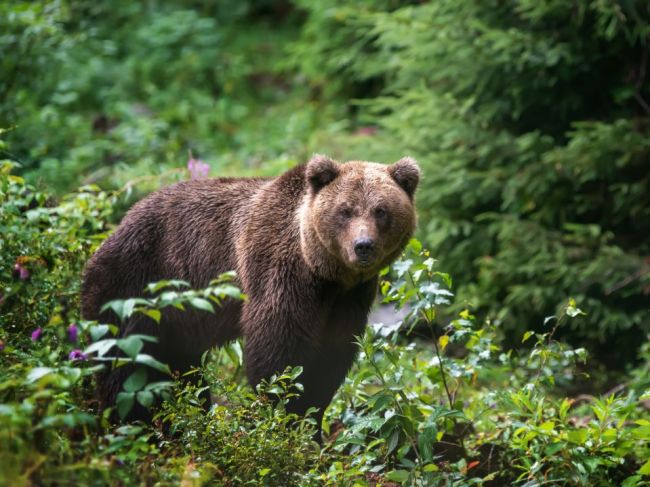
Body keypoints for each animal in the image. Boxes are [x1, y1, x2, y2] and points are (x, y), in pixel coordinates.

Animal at [81, 154, 418, 432]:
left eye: (381, 211)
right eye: (345, 211)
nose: (363, 246)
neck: (325, 274)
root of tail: (113, 229)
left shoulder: (350, 298)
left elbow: (331, 359)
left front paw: (311, 425)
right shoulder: (280, 274)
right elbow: (277, 355)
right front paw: (284, 419)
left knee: (179, 372)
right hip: (134, 289)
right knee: (127, 368)